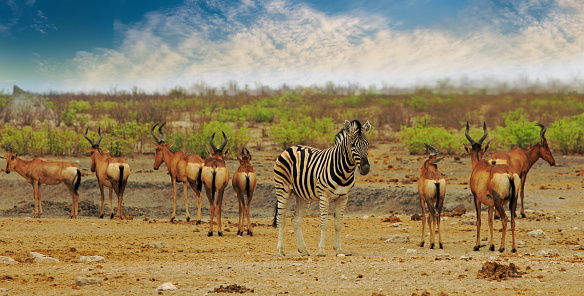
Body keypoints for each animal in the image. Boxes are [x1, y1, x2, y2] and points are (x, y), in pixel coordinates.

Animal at [272, 119, 372, 256]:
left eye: (367, 144)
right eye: (352, 145)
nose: (366, 168)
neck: (345, 172)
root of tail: (291, 147)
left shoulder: (343, 197)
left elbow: (338, 224)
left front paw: (338, 249)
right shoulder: (324, 196)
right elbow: (324, 224)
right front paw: (321, 251)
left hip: (302, 195)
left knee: (296, 220)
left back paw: (303, 250)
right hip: (282, 190)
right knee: (281, 219)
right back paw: (280, 250)